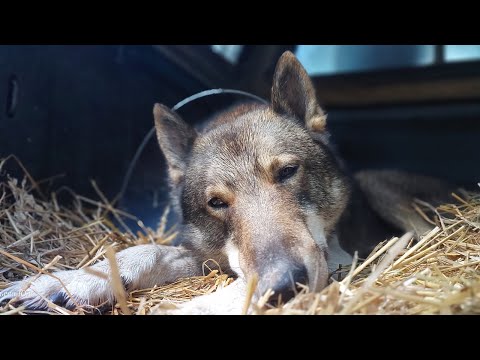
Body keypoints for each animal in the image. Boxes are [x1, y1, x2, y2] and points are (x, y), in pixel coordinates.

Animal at [0, 50, 454, 312]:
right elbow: (143, 252)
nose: (285, 286)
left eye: (287, 173)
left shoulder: (335, 255)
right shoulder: (207, 253)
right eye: (217, 203)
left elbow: (241, 288)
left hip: (381, 187)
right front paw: (59, 282)